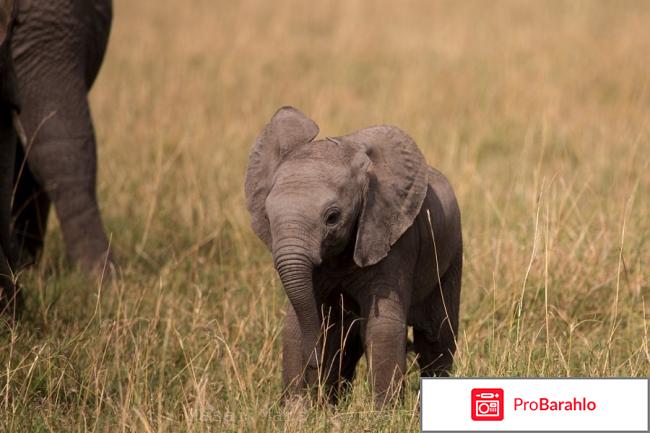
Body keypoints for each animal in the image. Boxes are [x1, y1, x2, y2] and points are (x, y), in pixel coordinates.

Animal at [243, 105, 460, 404]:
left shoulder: (393, 238)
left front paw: (385, 412)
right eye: (267, 215)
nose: (312, 363)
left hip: (452, 254)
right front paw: (295, 410)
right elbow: (294, 326)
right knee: (343, 345)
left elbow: (383, 328)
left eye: (332, 217)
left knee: (437, 339)